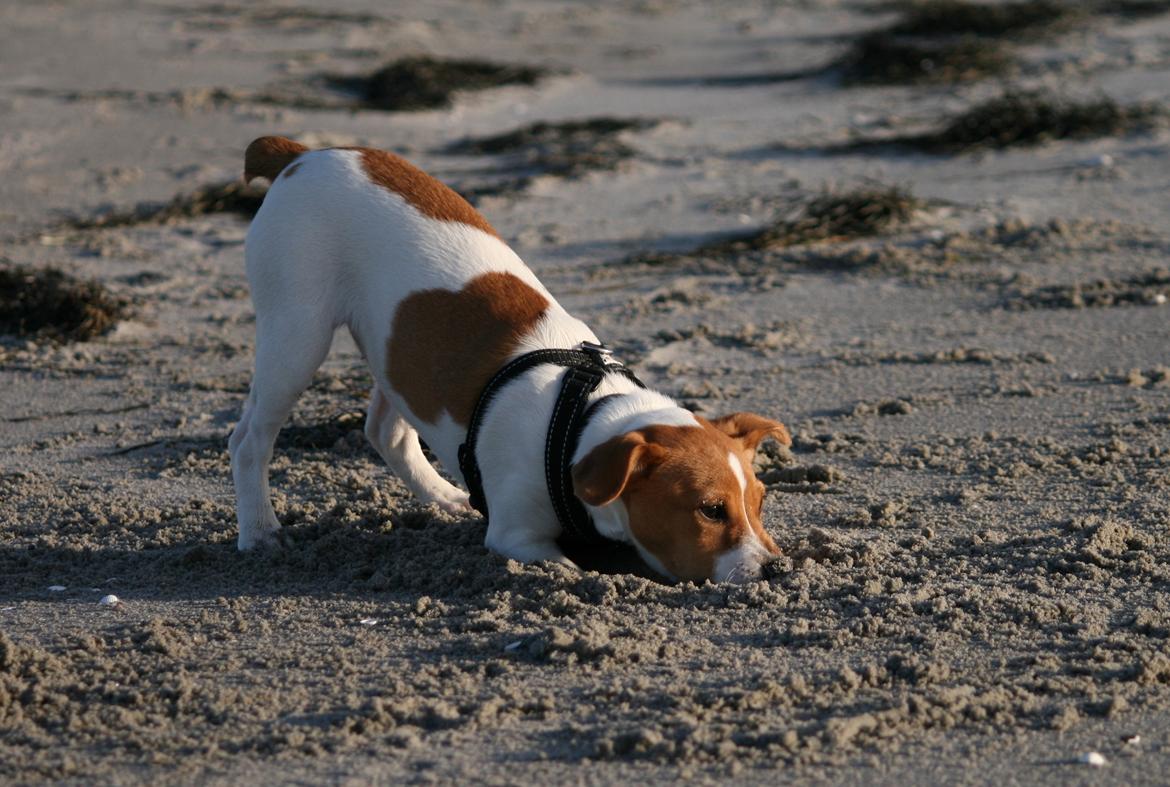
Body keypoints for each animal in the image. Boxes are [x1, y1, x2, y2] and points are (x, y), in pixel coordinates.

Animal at [228, 135, 790, 580]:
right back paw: (260, 531)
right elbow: (561, 562)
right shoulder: (517, 537)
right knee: (249, 438)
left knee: (387, 430)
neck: (581, 420)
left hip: (394, 347)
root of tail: (305, 155)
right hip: (297, 334)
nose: (776, 570)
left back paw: (443, 497)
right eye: (711, 510)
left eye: (761, 503)